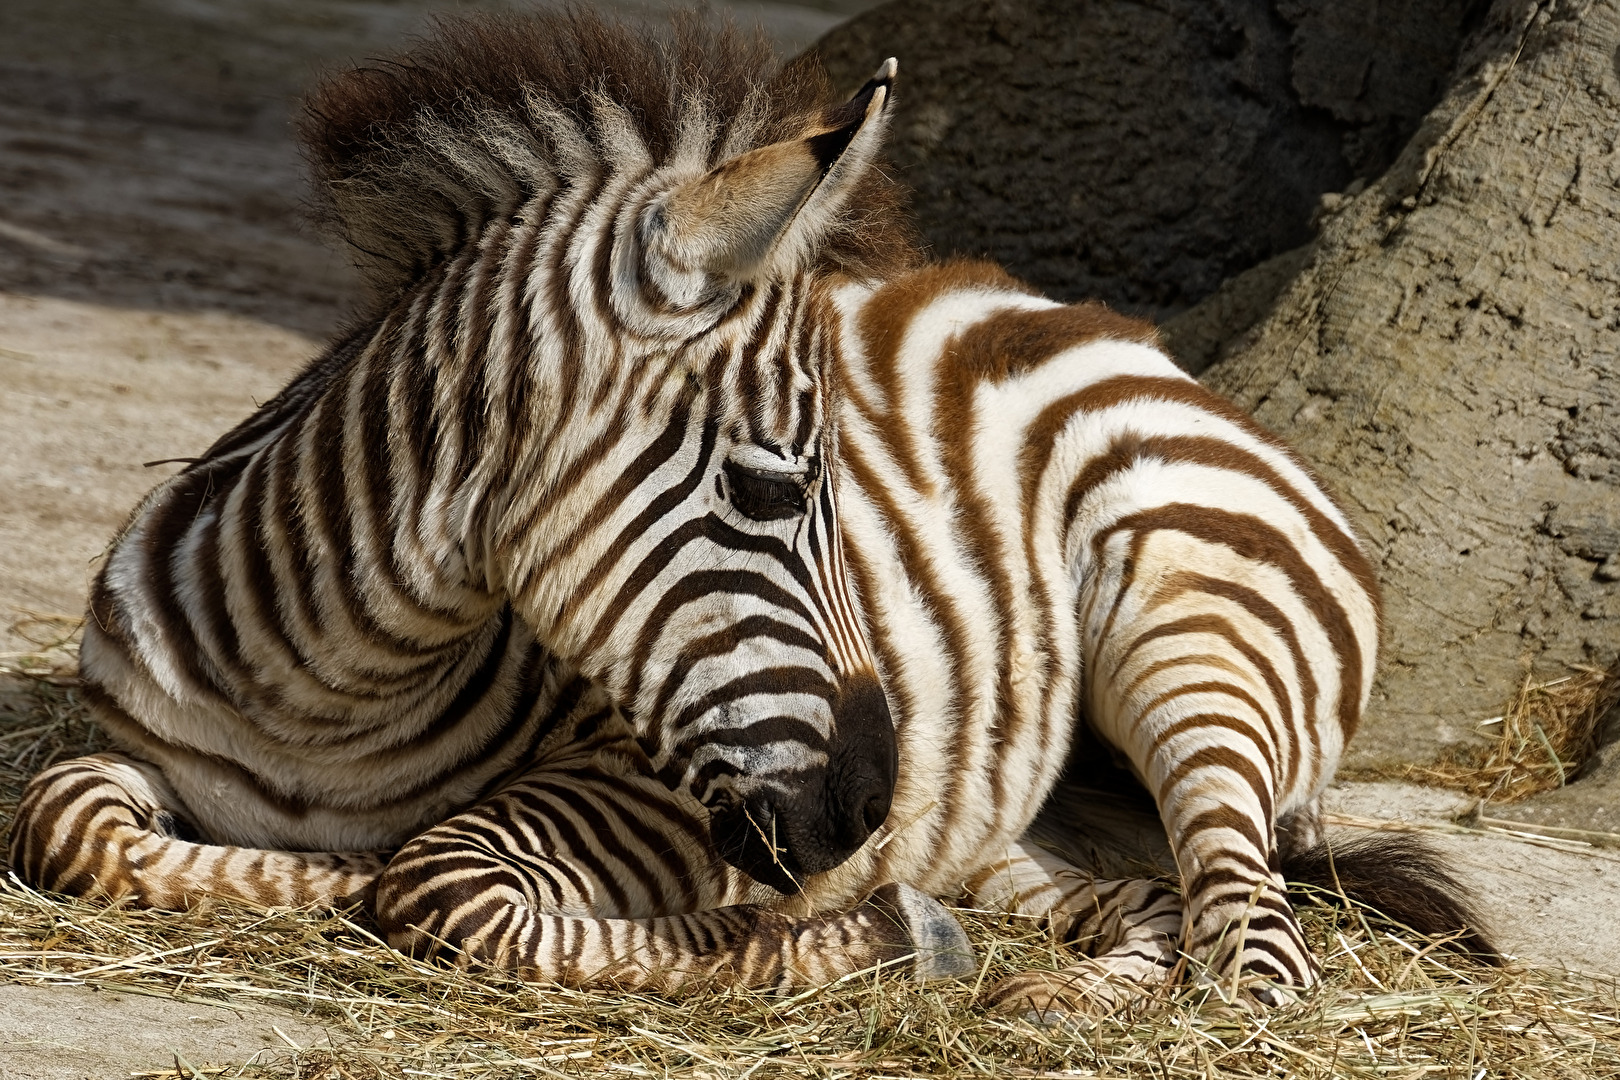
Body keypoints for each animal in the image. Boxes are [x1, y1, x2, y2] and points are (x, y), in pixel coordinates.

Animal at [8, 10, 1493, 1013]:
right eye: (771, 488)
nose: (872, 806)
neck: (331, 700)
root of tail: (1105, 328)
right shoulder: (121, 747)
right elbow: (63, 820)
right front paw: (305, 875)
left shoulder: (652, 791)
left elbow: (447, 883)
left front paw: (865, 937)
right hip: (1027, 820)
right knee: (1153, 903)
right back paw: (1043, 979)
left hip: (1194, 632)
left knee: (1256, 941)